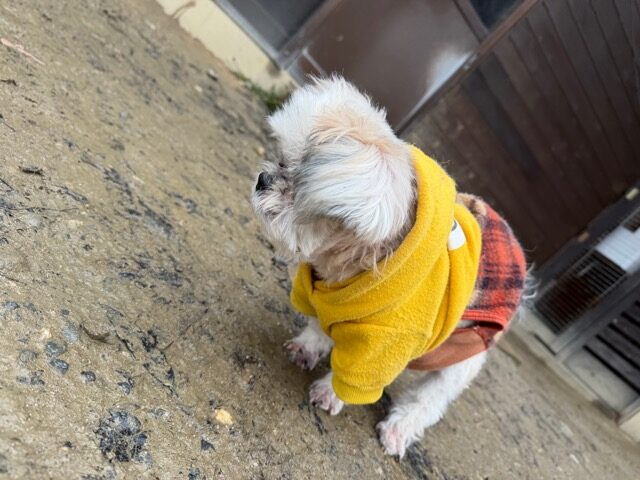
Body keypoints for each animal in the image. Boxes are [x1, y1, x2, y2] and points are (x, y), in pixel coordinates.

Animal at [251, 76, 527, 457]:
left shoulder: (382, 347)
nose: (262, 179)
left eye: (296, 186)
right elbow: (320, 327)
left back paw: (399, 428)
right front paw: (308, 346)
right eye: (281, 161)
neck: (346, 271)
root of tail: (514, 245)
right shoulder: (329, 302)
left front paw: (330, 393)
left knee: (430, 398)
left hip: (465, 352)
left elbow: (358, 377)